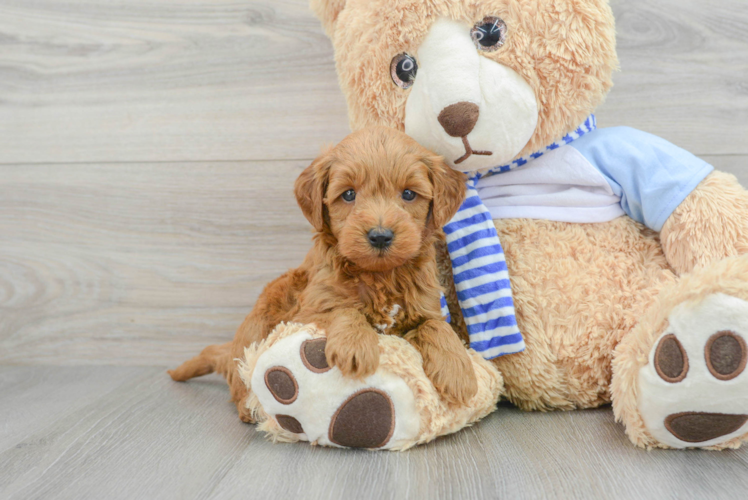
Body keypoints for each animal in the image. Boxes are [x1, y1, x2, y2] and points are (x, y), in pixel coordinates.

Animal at [168, 127, 480, 420]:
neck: (379, 275)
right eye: (349, 194)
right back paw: (249, 408)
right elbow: (344, 309)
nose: (380, 236)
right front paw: (355, 345)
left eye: (408, 194)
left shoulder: (425, 306)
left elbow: (436, 326)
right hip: (259, 325)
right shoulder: (308, 311)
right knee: (241, 377)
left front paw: (458, 371)